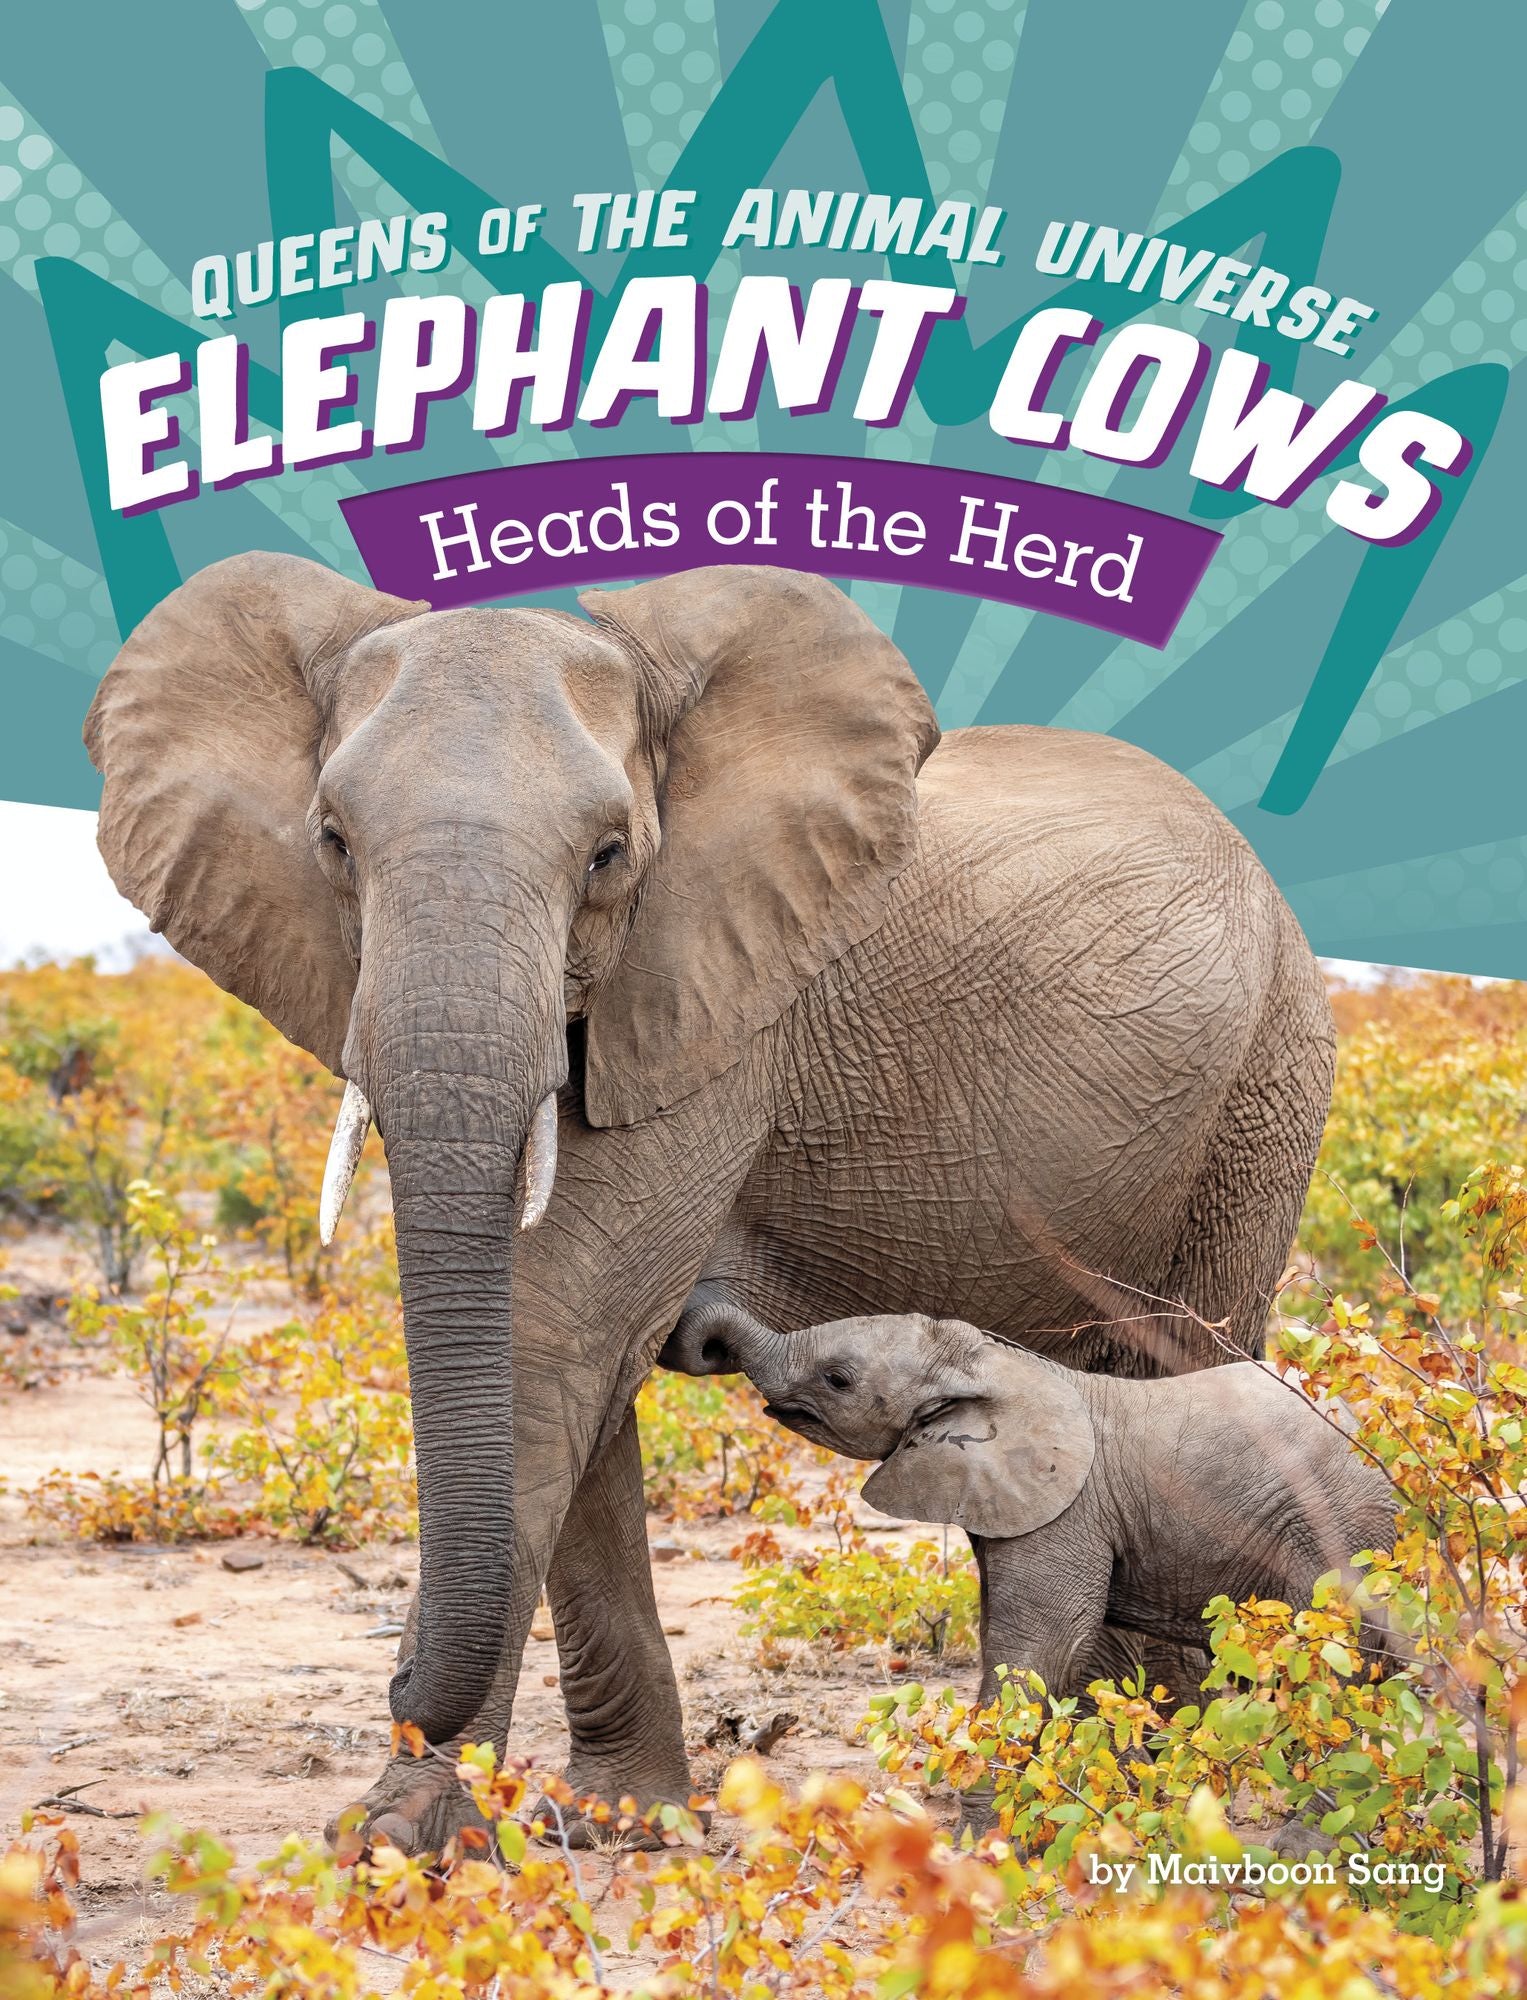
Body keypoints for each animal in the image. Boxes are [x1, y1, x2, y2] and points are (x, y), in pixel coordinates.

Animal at [660, 1304, 1400, 1708]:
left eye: (836, 1380)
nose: (689, 1338)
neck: (994, 1362)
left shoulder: (1066, 1514)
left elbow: (1039, 1649)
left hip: (1341, 1526)